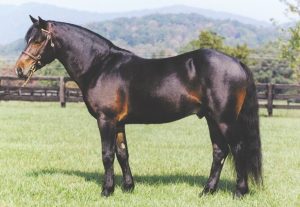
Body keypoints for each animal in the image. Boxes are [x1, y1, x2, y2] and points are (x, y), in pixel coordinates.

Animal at [14, 15, 262, 197]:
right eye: (28, 38)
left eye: (38, 40)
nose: (20, 69)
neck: (100, 65)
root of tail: (237, 63)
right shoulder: (119, 123)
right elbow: (123, 154)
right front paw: (128, 187)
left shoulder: (106, 120)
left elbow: (107, 155)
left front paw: (107, 190)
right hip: (211, 119)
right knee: (220, 152)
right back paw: (207, 191)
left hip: (224, 120)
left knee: (238, 149)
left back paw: (239, 192)